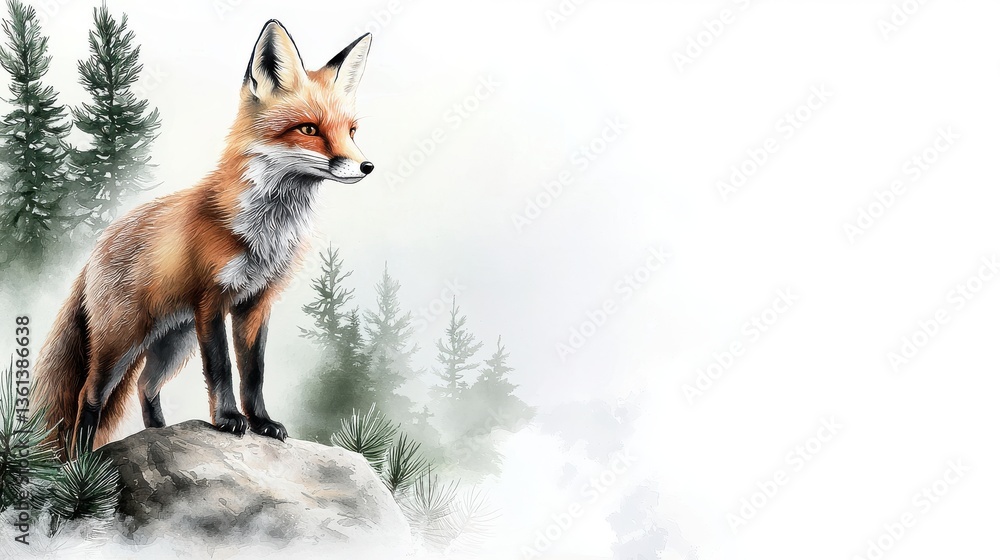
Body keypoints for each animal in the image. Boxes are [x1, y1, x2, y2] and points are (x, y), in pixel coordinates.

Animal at [34, 20, 375, 459]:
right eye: (309, 129)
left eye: (351, 131)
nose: (367, 166)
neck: (265, 232)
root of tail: (97, 247)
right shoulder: (212, 300)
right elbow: (221, 368)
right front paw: (228, 419)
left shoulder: (256, 303)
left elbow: (254, 372)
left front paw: (261, 422)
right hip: (122, 341)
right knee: (88, 395)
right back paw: (82, 459)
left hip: (173, 343)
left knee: (145, 385)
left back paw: (159, 434)